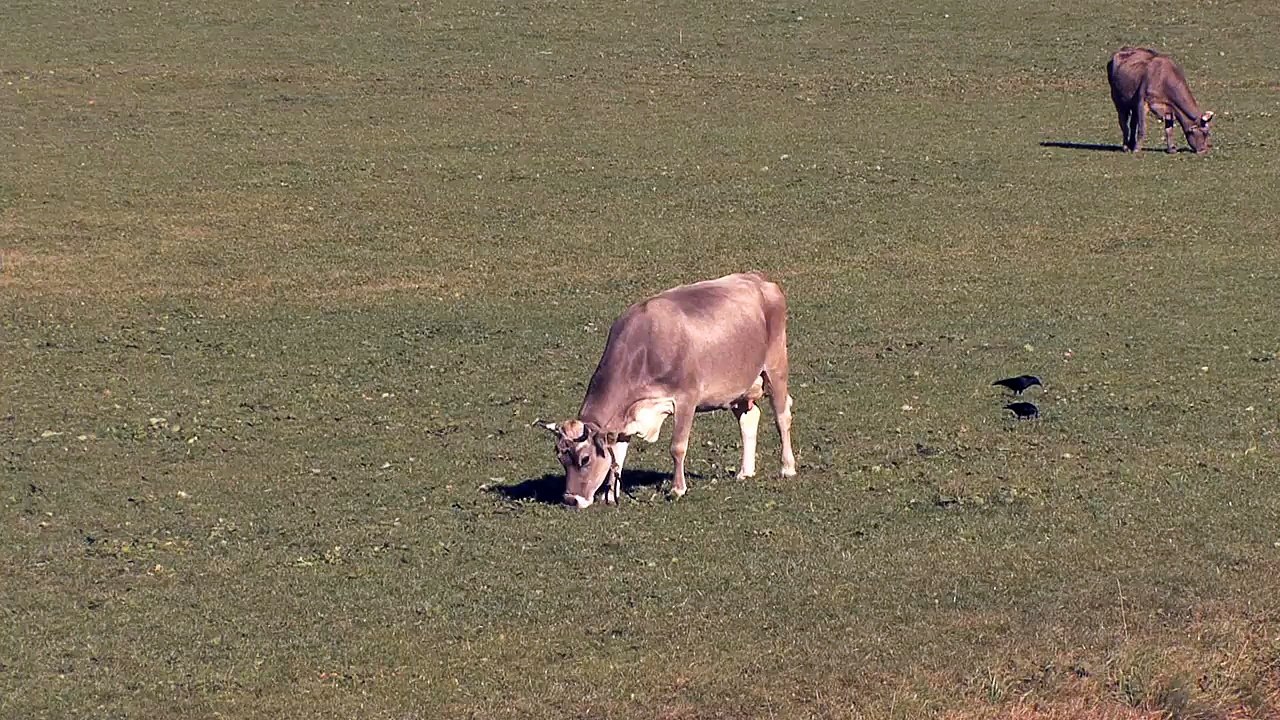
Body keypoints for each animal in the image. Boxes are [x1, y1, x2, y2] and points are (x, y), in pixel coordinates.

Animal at [545, 272, 796, 509]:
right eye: (560, 458)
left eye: (585, 459)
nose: (571, 500)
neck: (644, 348)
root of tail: (758, 279)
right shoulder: (625, 416)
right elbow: (617, 454)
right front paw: (610, 494)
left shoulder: (686, 398)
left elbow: (677, 447)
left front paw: (677, 489)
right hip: (738, 386)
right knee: (749, 418)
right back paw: (745, 472)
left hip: (776, 365)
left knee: (782, 416)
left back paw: (787, 467)